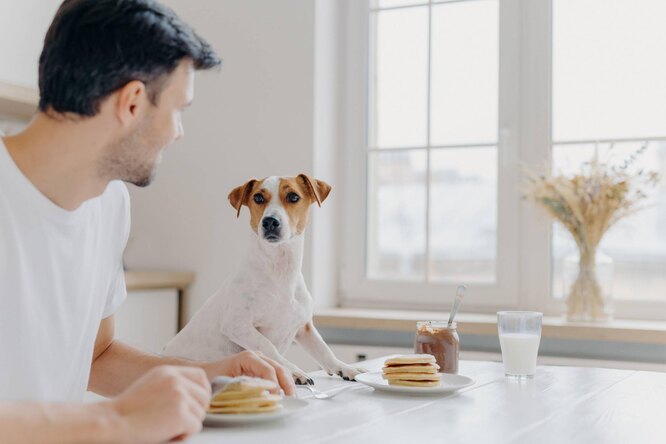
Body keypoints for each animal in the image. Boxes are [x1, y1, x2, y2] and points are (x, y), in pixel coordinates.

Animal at [164, 175, 366, 384]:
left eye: (293, 196)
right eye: (258, 198)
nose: (270, 221)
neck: (280, 272)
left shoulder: (304, 328)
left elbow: (324, 350)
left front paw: (345, 368)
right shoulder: (237, 325)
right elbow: (268, 347)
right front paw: (293, 371)